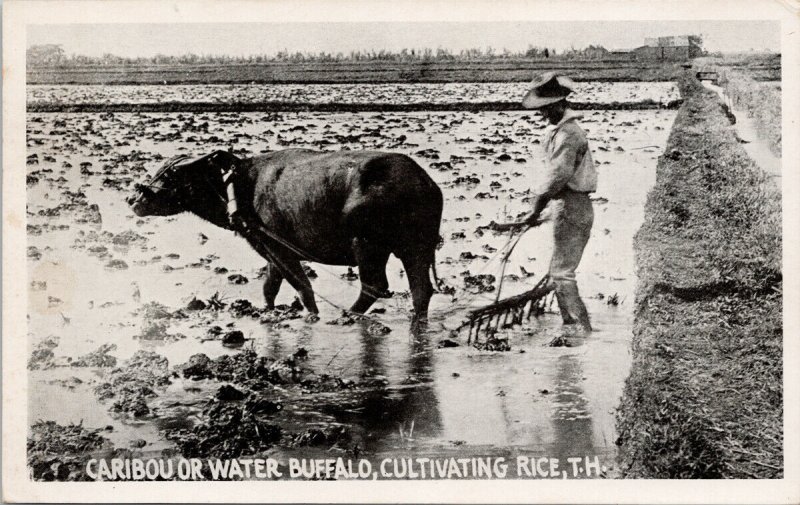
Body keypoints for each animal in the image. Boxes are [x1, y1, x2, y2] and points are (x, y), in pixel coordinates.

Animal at [128, 149, 446, 322]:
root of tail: (425, 183)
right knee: (421, 289)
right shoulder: (269, 248)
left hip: (368, 245)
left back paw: (347, 315)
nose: (134, 200)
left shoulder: (280, 248)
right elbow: (270, 285)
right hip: (414, 247)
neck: (238, 188)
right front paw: (267, 310)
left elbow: (302, 286)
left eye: (171, 175)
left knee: (375, 286)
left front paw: (312, 315)